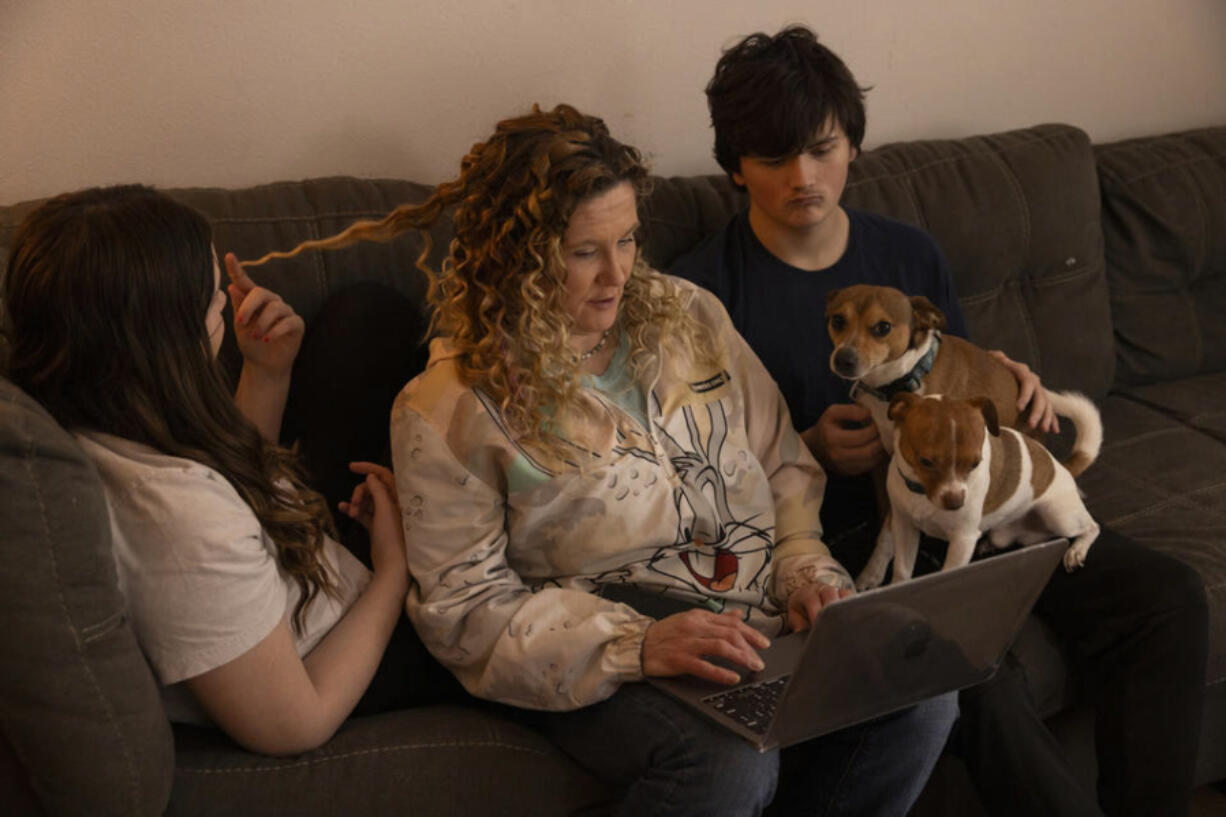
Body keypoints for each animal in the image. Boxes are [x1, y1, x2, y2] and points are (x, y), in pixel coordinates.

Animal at [882, 392, 1103, 579]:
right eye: (925, 462)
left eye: (975, 464)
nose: (956, 504)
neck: (920, 493)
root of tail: (1063, 467)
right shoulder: (904, 526)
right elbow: (902, 571)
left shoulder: (962, 540)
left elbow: (949, 571)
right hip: (1007, 533)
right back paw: (989, 545)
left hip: (1058, 515)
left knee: (1092, 527)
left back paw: (1077, 550)